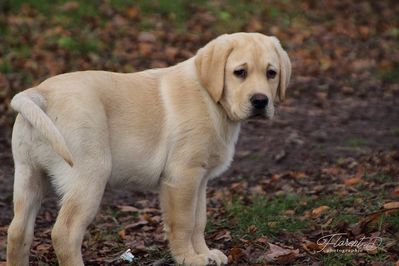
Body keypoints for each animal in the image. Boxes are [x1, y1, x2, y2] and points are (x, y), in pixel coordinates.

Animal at [7, 32, 290, 264]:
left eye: (271, 73)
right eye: (239, 72)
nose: (260, 101)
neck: (211, 99)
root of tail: (41, 93)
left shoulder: (199, 179)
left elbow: (199, 220)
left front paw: (206, 254)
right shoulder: (182, 176)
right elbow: (184, 222)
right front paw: (189, 258)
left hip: (28, 174)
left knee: (17, 232)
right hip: (88, 176)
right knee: (64, 234)